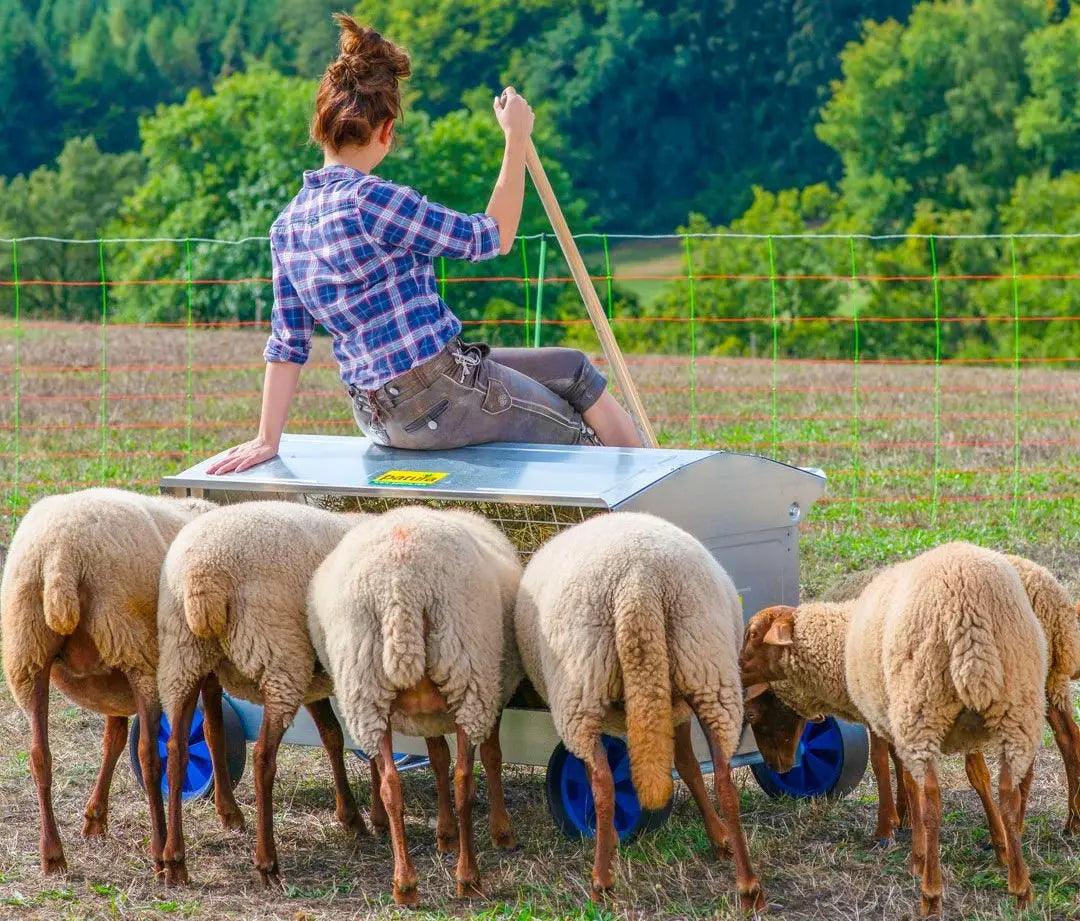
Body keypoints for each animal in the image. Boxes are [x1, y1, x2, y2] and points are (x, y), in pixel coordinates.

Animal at [0, 487, 214, 876]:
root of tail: (60, 555)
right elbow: (211, 733)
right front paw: (229, 815)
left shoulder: (111, 681)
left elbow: (112, 740)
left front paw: (95, 819)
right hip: (135, 649)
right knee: (149, 755)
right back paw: (160, 851)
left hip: (27, 650)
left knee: (39, 755)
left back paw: (52, 855)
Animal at [155, 501, 373, 888]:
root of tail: (202, 578)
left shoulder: (316, 677)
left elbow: (332, 735)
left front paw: (352, 817)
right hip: (279, 657)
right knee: (262, 759)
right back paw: (267, 863)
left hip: (183, 656)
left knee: (178, 748)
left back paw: (176, 861)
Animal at [307, 506, 523, 906]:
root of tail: (400, 585)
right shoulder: (489, 696)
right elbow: (489, 757)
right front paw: (500, 832)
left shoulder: (428, 716)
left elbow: (437, 759)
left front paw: (445, 834)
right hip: (467, 675)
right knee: (464, 780)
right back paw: (468, 878)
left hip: (366, 690)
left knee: (392, 786)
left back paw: (404, 884)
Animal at [514, 511, 765, 911]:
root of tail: (639, 582)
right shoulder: (674, 709)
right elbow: (689, 768)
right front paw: (718, 837)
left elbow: (683, 767)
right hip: (706, 668)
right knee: (725, 779)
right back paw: (749, 886)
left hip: (581, 690)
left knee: (602, 784)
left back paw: (601, 880)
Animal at [743, 542, 1047, 916]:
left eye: (752, 635)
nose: (778, 768)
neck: (842, 642)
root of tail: (968, 610)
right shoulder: (895, 718)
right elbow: (913, 770)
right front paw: (908, 823)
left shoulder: (890, 717)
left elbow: (885, 766)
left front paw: (896, 835)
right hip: (1016, 707)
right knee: (1008, 793)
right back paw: (1020, 888)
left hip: (924, 708)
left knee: (932, 800)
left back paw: (930, 892)